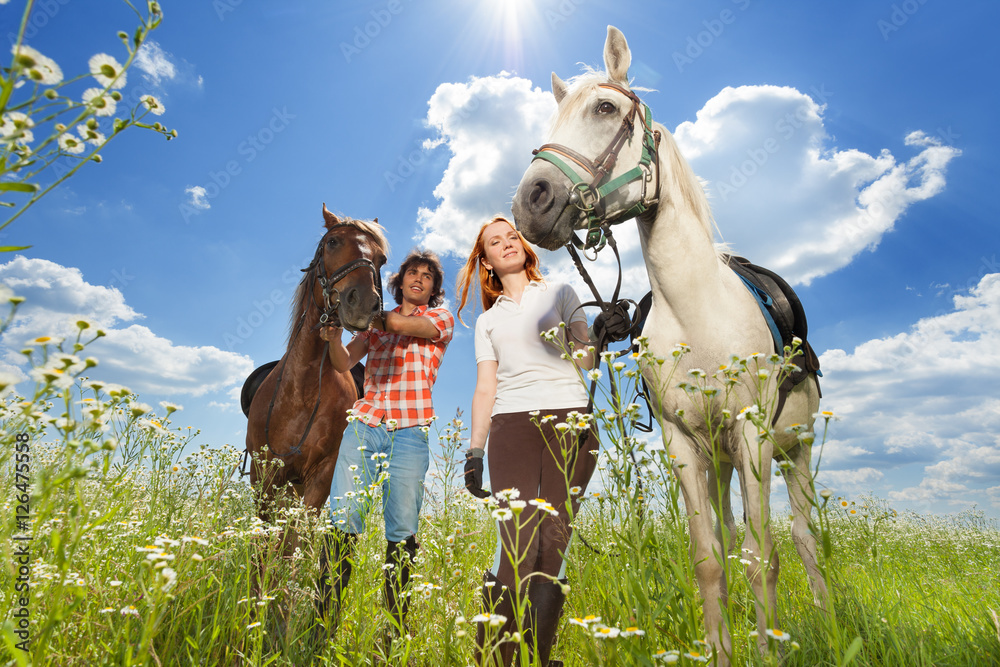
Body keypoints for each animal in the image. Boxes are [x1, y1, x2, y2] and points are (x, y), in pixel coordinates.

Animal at [246, 206, 390, 520]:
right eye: (333, 242)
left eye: (381, 259)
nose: (363, 303)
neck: (302, 390)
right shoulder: (264, 473)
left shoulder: (322, 474)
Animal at [512, 24, 832, 664]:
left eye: (605, 108)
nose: (531, 201)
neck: (696, 312)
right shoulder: (685, 445)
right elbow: (710, 560)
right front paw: (722, 648)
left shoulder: (753, 436)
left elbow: (764, 558)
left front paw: (768, 647)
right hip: (721, 462)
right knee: (736, 533)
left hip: (794, 452)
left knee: (806, 538)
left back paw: (825, 619)